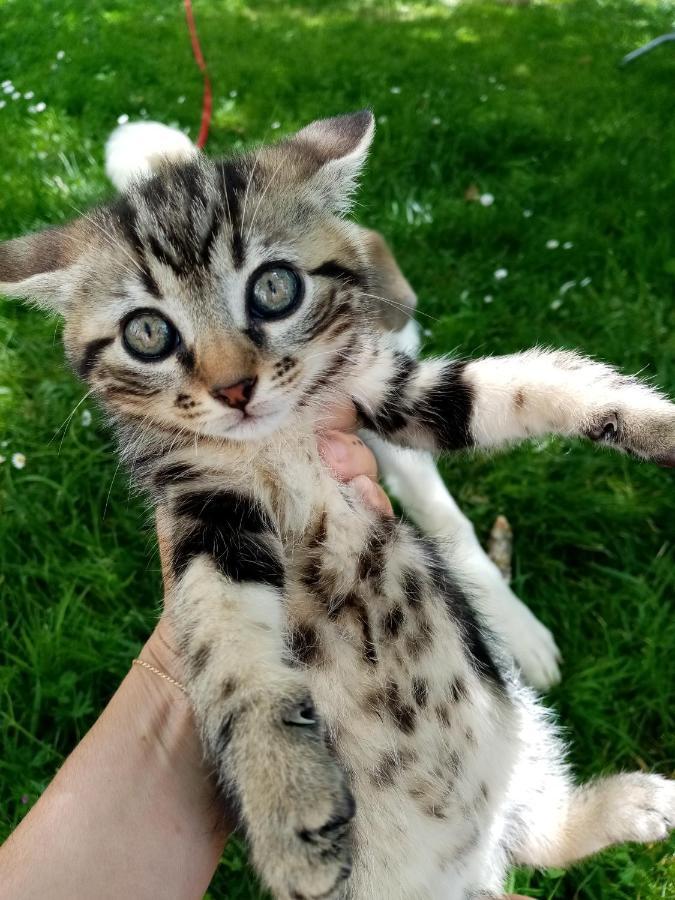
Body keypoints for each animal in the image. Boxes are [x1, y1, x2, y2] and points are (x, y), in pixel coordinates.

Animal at [1, 112, 675, 900]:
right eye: (148, 332)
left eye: (274, 288)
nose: (234, 388)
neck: (280, 438)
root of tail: (467, 863)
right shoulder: (203, 510)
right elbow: (228, 644)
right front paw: (285, 803)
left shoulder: (389, 392)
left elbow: (527, 386)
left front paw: (656, 424)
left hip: (521, 742)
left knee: (542, 831)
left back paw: (634, 804)